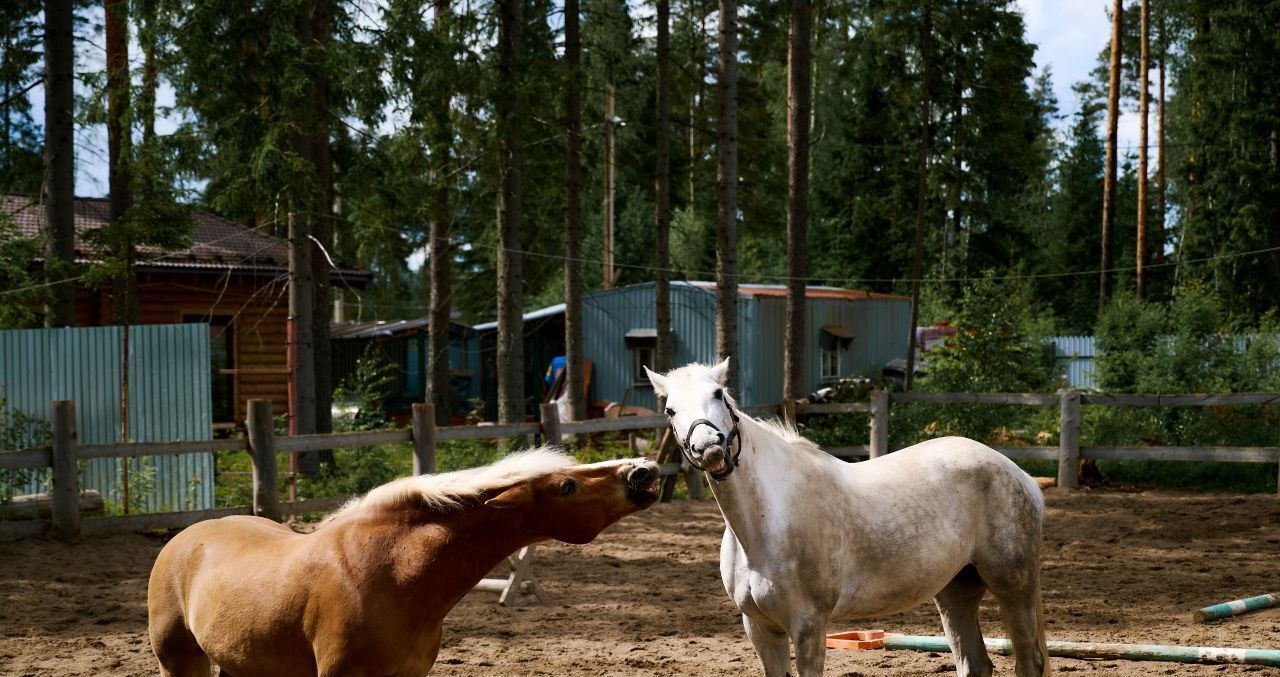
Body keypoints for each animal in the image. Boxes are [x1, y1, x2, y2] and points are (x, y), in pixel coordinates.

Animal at [645, 360, 1054, 675]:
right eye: (670, 410)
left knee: (1029, 661)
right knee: (975, 663)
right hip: (956, 591)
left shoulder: (808, 626)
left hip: (1013, 588)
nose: (710, 448)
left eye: (718, 394)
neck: (767, 522)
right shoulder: (760, 628)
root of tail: (1019, 475)